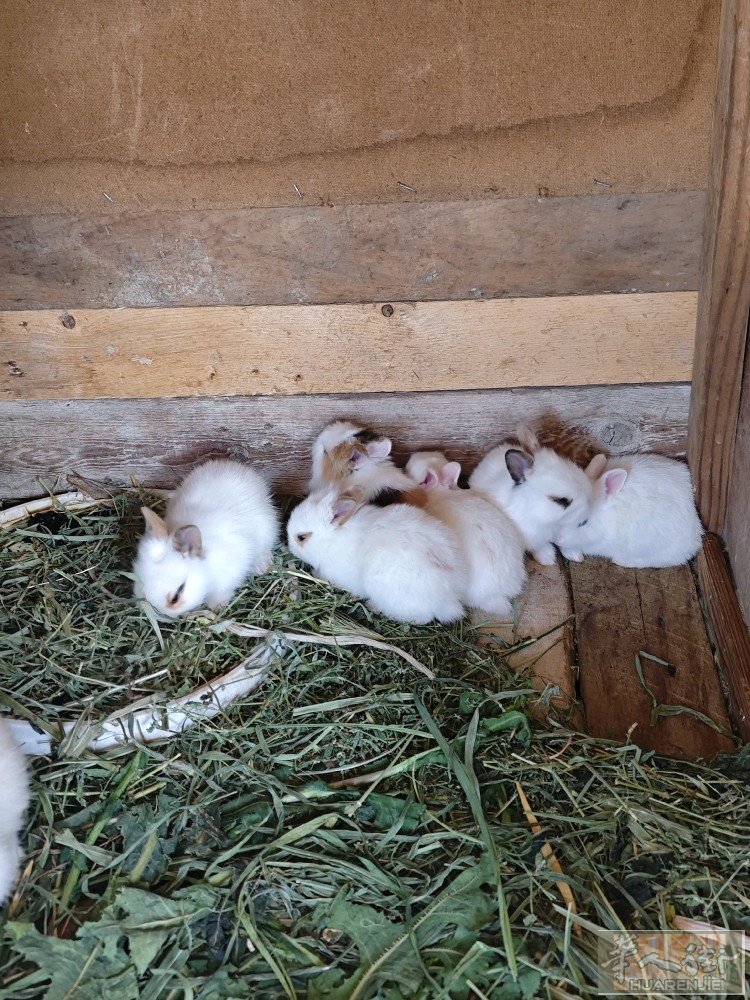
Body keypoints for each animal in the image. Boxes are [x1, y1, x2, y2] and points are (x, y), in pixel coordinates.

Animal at [469, 425, 595, 565]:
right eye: (561, 500)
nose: (590, 503)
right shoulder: (531, 536)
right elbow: (540, 546)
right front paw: (547, 558)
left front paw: (575, 555)